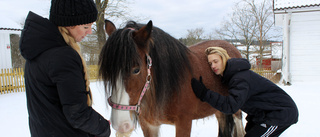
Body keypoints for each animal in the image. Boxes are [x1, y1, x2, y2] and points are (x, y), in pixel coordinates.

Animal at [99, 19, 244, 137]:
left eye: (136, 69)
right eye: (108, 71)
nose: (121, 125)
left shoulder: (184, 123)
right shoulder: (149, 125)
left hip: (235, 109)